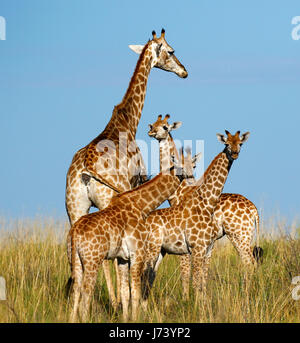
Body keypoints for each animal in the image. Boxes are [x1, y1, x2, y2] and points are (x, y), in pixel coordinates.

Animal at [65, 29, 188, 310]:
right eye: (171, 51)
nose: (184, 71)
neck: (127, 122)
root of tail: (85, 169)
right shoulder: (134, 185)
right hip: (107, 198)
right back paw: (116, 301)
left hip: (74, 208)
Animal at [68, 160, 190, 324]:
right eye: (185, 166)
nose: (191, 177)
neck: (140, 205)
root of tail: (74, 232)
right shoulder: (137, 253)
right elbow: (136, 292)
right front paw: (136, 318)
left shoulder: (122, 258)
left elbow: (126, 293)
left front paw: (126, 319)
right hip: (92, 260)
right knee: (87, 290)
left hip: (76, 259)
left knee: (76, 289)